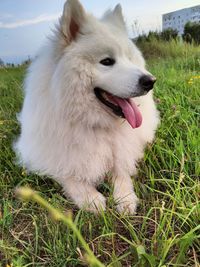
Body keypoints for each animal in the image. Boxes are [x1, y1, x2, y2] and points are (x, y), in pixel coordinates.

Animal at [14, 0, 159, 214]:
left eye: (130, 59)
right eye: (107, 61)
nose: (150, 81)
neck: (95, 124)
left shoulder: (122, 150)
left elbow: (120, 170)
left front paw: (125, 198)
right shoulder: (42, 155)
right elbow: (68, 174)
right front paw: (91, 198)